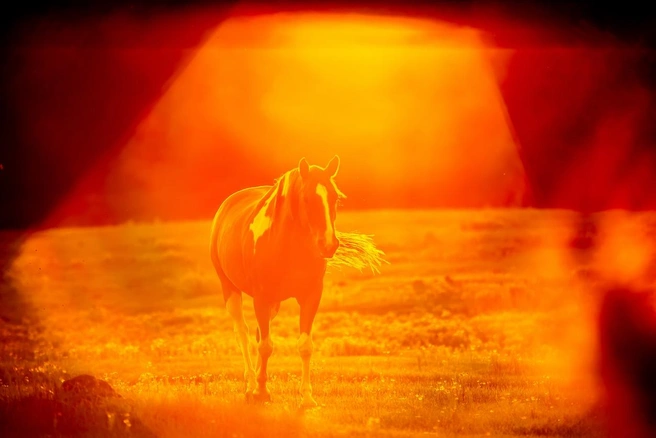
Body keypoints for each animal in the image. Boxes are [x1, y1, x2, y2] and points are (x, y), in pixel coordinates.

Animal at [209, 155, 346, 406]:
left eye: (336, 198)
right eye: (307, 198)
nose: (329, 244)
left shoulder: (311, 295)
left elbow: (304, 346)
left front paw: (307, 397)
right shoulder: (261, 298)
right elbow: (265, 346)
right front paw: (261, 392)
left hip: (274, 304)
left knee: (256, 334)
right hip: (230, 290)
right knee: (243, 334)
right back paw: (250, 385)